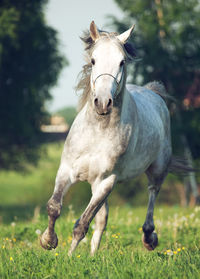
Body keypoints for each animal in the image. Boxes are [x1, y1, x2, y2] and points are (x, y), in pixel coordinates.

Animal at [41, 20, 181, 256]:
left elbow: (82, 224)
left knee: (152, 194)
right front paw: (48, 241)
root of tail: (153, 92)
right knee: (101, 220)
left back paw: (149, 238)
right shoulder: (67, 171)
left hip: (156, 170)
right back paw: (92, 255)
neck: (97, 132)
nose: (103, 102)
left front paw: (68, 258)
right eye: (93, 60)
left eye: (122, 62)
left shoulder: (106, 181)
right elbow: (54, 207)